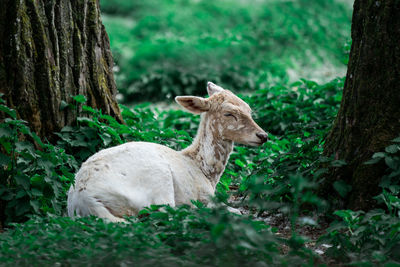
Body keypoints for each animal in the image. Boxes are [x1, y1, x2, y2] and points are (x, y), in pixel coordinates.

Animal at [67, 82, 268, 223]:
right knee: (164, 212)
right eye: (229, 113)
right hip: (157, 179)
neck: (205, 173)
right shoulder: (205, 195)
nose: (263, 135)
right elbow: (234, 209)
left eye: (249, 109)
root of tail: (84, 198)